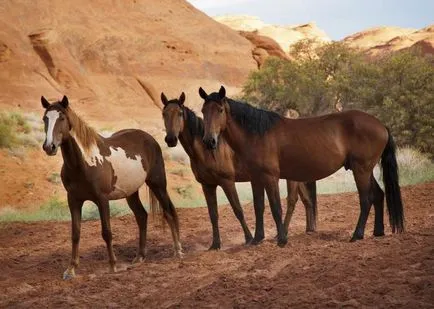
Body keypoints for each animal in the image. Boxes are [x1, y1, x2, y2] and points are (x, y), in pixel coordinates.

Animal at [41, 95, 182, 278]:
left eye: (62, 118)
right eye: (45, 118)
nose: (49, 146)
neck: (84, 162)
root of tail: (150, 139)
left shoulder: (102, 200)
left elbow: (107, 232)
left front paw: (113, 266)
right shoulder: (73, 200)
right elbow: (75, 234)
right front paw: (71, 269)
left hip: (157, 184)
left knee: (169, 213)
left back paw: (178, 251)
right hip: (131, 192)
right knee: (141, 216)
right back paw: (139, 257)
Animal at [161, 91, 318, 248]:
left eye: (180, 113)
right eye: (164, 114)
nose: (171, 139)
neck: (209, 152)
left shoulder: (227, 182)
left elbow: (238, 210)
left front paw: (249, 238)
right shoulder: (207, 185)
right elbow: (213, 215)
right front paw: (215, 244)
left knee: (292, 200)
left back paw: (284, 233)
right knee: (306, 199)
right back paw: (308, 229)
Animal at [200, 85, 404, 247]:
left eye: (220, 110)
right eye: (203, 111)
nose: (209, 141)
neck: (258, 134)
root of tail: (381, 125)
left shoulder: (270, 177)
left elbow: (276, 207)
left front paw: (282, 240)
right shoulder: (256, 178)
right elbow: (259, 207)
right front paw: (257, 239)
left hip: (361, 170)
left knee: (366, 199)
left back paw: (357, 235)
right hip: (365, 170)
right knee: (378, 195)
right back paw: (378, 232)